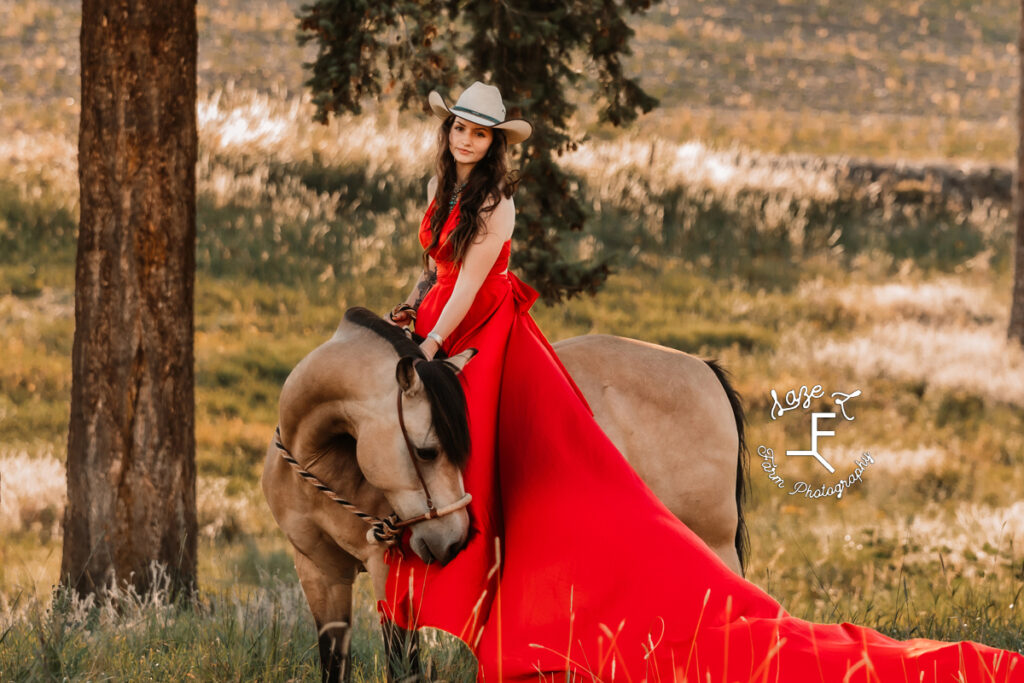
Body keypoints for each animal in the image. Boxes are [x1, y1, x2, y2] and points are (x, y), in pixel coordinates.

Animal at [260, 307, 749, 679]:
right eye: (427, 450)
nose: (454, 541)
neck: (326, 462)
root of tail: (703, 368)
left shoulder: (392, 574)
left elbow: (403, 664)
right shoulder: (319, 572)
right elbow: (333, 662)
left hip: (712, 540)